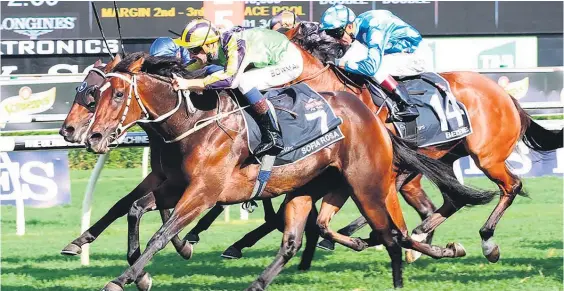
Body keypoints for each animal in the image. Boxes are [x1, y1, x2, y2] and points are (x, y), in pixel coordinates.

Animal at [86, 53, 492, 290]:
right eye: (94, 96)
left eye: (117, 95)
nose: (93, 136)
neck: (196, 123)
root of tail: (372, 117)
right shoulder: (176, 186)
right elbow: (135, 209)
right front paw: (141, 271)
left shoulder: (203, 193)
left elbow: (162, 233)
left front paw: (126, 277)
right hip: (310, 187)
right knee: (297, 239)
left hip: (363, 184)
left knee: (393, 230)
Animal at [286, 22, 564, 264]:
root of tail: (505, 95)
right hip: (446, 158)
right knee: (454, 199)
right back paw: (423, 234)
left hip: (487, 157)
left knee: (511, 186)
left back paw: (487, 242)